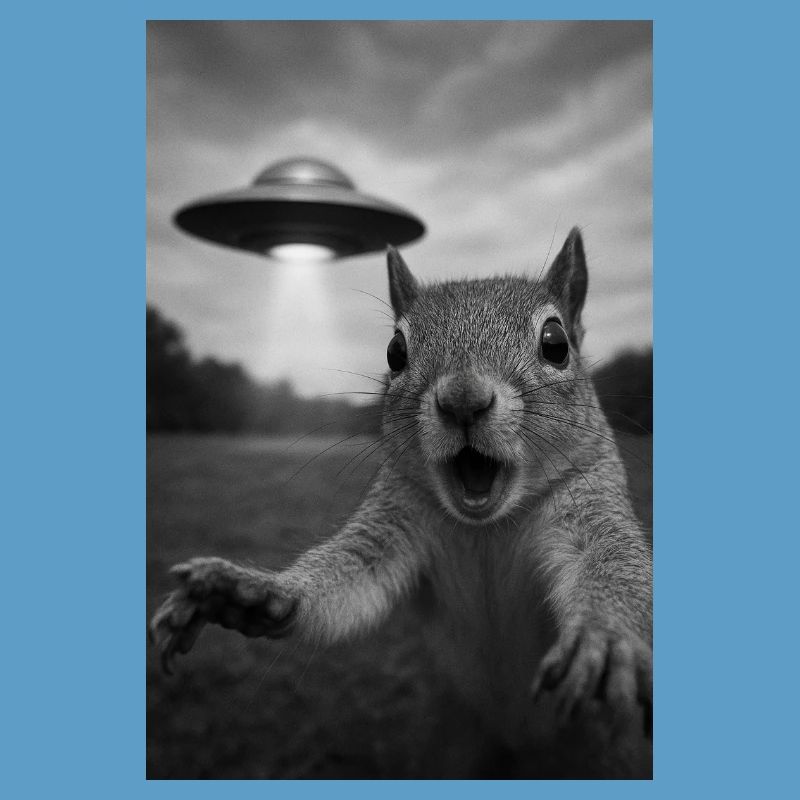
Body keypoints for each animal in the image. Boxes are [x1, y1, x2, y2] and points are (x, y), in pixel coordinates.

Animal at [149, 227, 653, 779]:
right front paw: (251, 591)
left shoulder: (593, 502)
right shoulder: (393, 519)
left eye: (556, 344)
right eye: (394, 351)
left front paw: (605, 637)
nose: (463, 400)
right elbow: (348, 580)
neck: (487, 527)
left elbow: (614, 564)